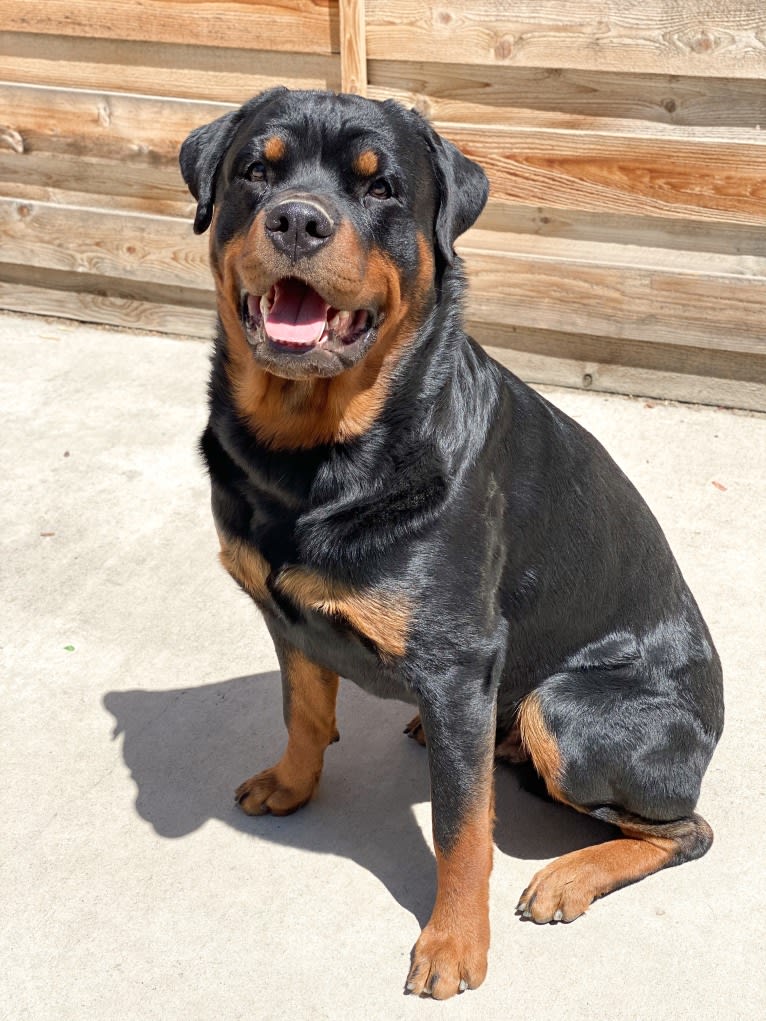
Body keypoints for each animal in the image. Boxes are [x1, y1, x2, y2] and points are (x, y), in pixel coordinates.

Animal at [179, 87, 727, 996]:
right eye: (256, 169)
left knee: (685, 829)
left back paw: (569, 875)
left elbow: (460, 828)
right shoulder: (284, 613)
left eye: (382, 188)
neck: (314, 455)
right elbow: (303, 711)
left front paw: (453, 943)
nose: (296, 219)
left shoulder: (459, 660)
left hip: (567, 712)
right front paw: (291, 782)